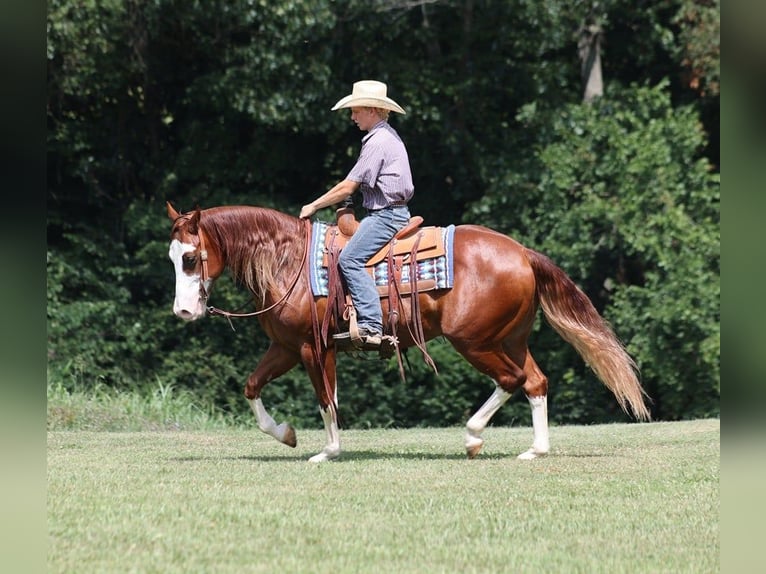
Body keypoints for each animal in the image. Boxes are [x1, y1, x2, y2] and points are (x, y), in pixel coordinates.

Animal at [166, 201, 650, 462]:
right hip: (511, 339)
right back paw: (536, 449)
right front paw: (286, 434)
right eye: (172, 258)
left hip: (473, 341)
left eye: (190, 258)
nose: (184, 310)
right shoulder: (285, 346)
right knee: (535, 381)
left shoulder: (312, 348)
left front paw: (329, 451)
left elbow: (326, 401)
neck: (290, 262)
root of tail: (522, 253)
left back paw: (473, 437)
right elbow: (252, 387)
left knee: (512, 379)